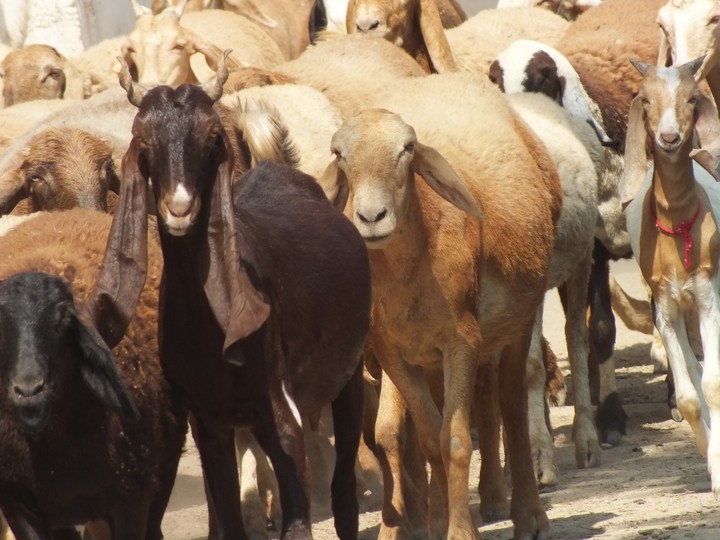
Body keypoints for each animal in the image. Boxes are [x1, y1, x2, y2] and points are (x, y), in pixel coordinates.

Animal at [97, 54, 372, 538]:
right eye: (143, 137)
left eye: (210, 136)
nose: (180, 207)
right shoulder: (208, 422)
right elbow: (227, 515)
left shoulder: (279, 412)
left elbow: (297, 518)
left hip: (349, 374)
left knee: (343, 494)